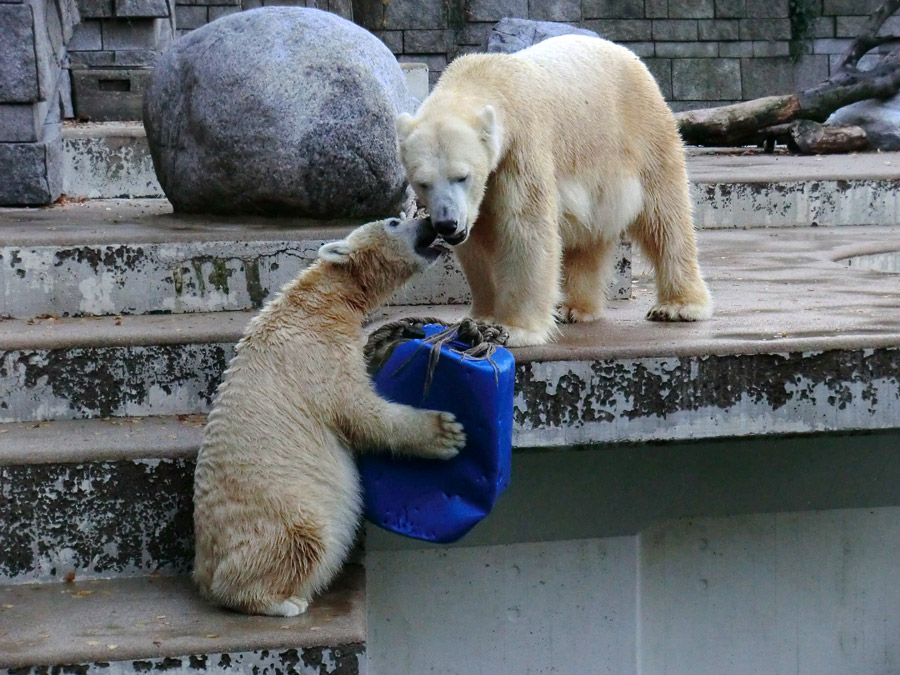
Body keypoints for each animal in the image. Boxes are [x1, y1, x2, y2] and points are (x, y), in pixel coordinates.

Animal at [398, 33, 712, 346]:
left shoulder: (521, 148)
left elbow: (524, 227)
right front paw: (481, 319)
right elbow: (479, 240)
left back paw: (678, 306)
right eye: (423, 183)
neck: (485, 78)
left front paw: (517, 329)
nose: (447, 224)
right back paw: (574, 308)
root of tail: (627, 54)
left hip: (640, 134)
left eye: (462, 176)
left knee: (664, 219)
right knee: (588, 237)